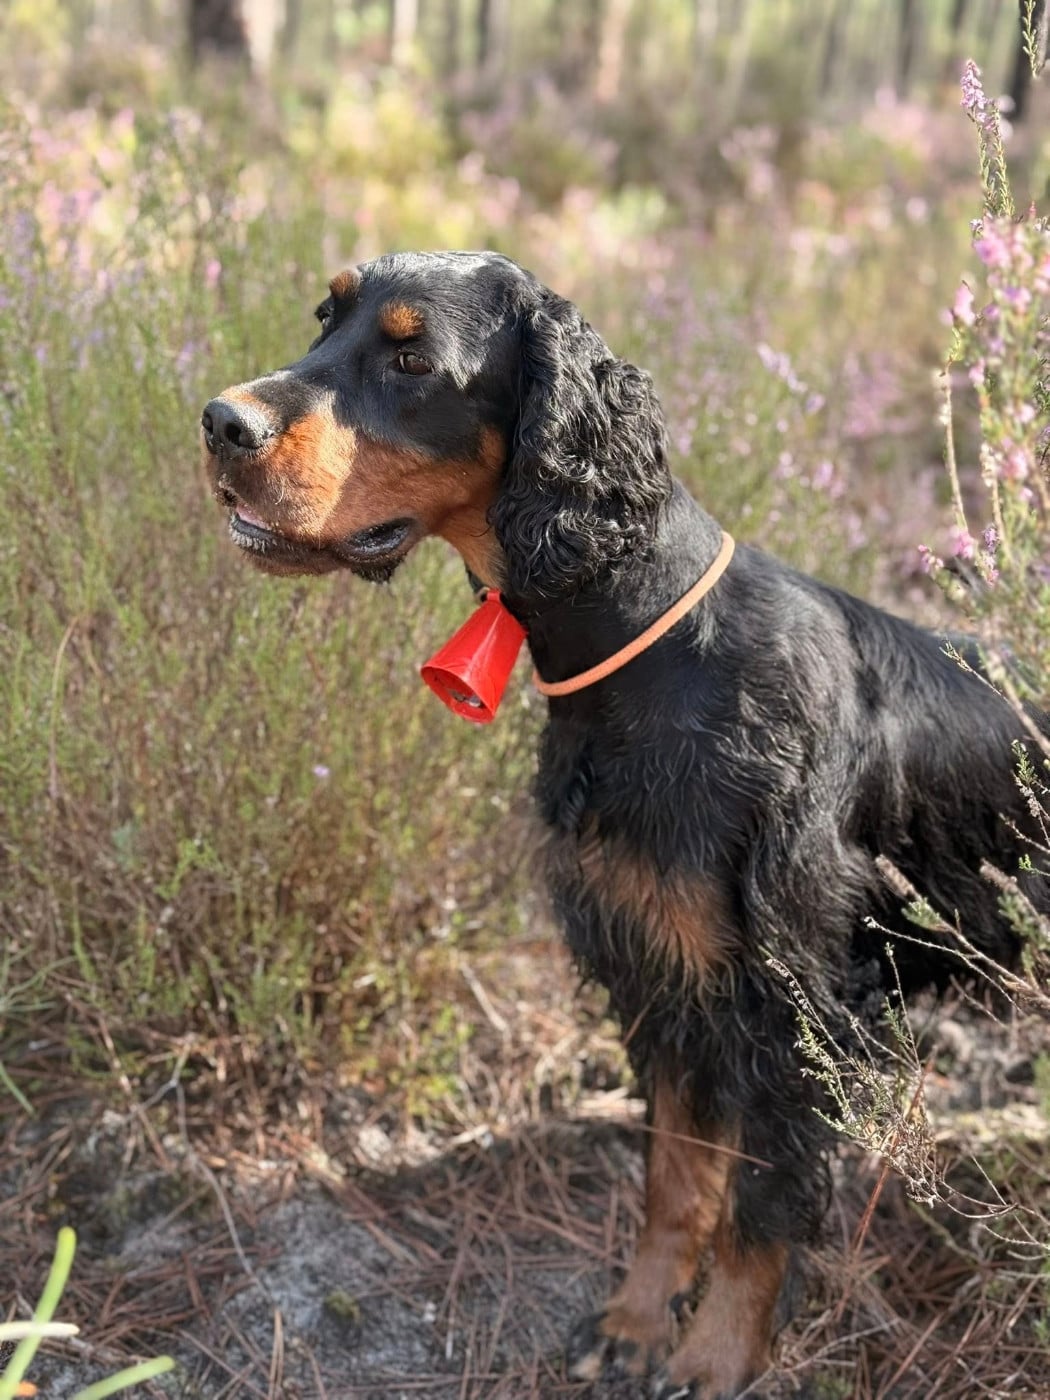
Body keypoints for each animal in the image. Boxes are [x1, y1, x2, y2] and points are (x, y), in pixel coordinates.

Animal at [201, 251, 1048, 1398]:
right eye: (323, 319)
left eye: (412, 358)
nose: (217, 422)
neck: (650, 650)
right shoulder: (658, 970)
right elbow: (675, 1178)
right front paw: (640, 1324)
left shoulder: (795, 1001)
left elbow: (763, 1202)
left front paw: (716, 1355)